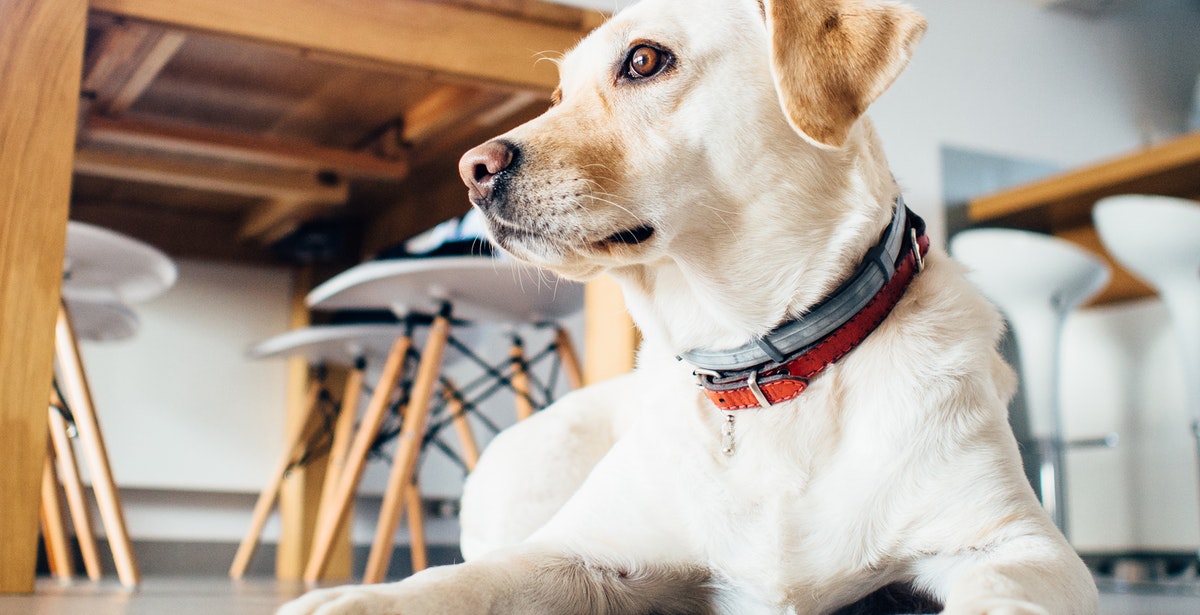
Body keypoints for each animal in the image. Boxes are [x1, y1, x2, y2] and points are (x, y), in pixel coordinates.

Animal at [279, 0, 1099, 612]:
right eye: (558, 97)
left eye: (644, 60)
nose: (471, 170)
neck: (767, 371)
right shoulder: (579, 552)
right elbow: (458, 582)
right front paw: (357, 598)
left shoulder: (1019, 543)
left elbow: (1004, 589)